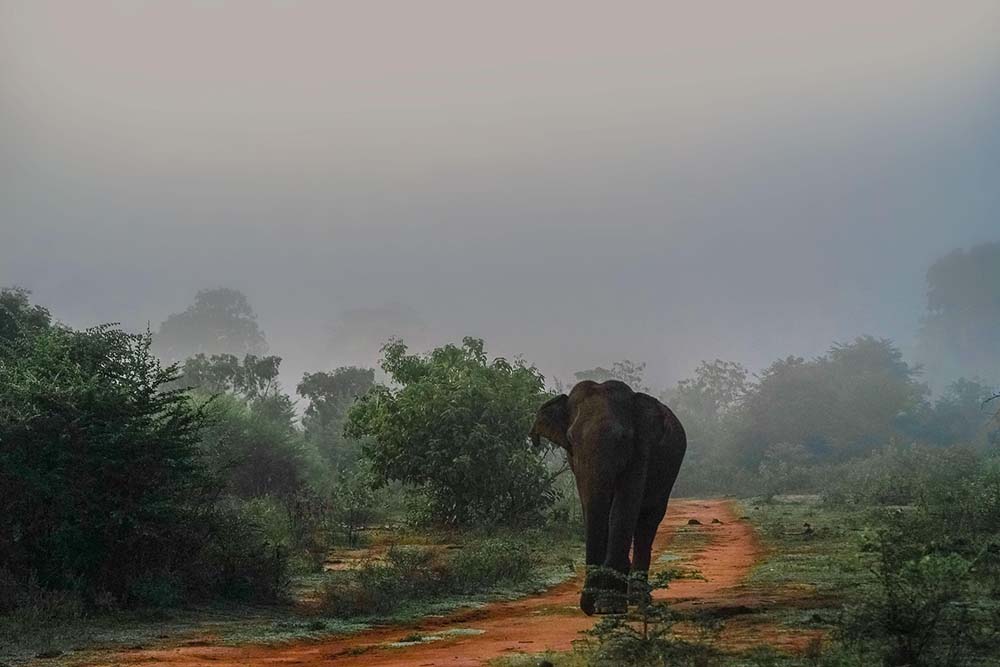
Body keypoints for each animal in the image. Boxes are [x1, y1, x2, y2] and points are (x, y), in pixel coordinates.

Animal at [530, 380, 686, 615]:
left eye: (622, 438)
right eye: (570, 438)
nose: (588, 607)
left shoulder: (641, 451)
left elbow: (623, 509)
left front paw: (609, 606)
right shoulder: (576, 462)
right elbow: (590, 504)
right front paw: (605, 603)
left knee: (648, 520)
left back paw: (639, 600)